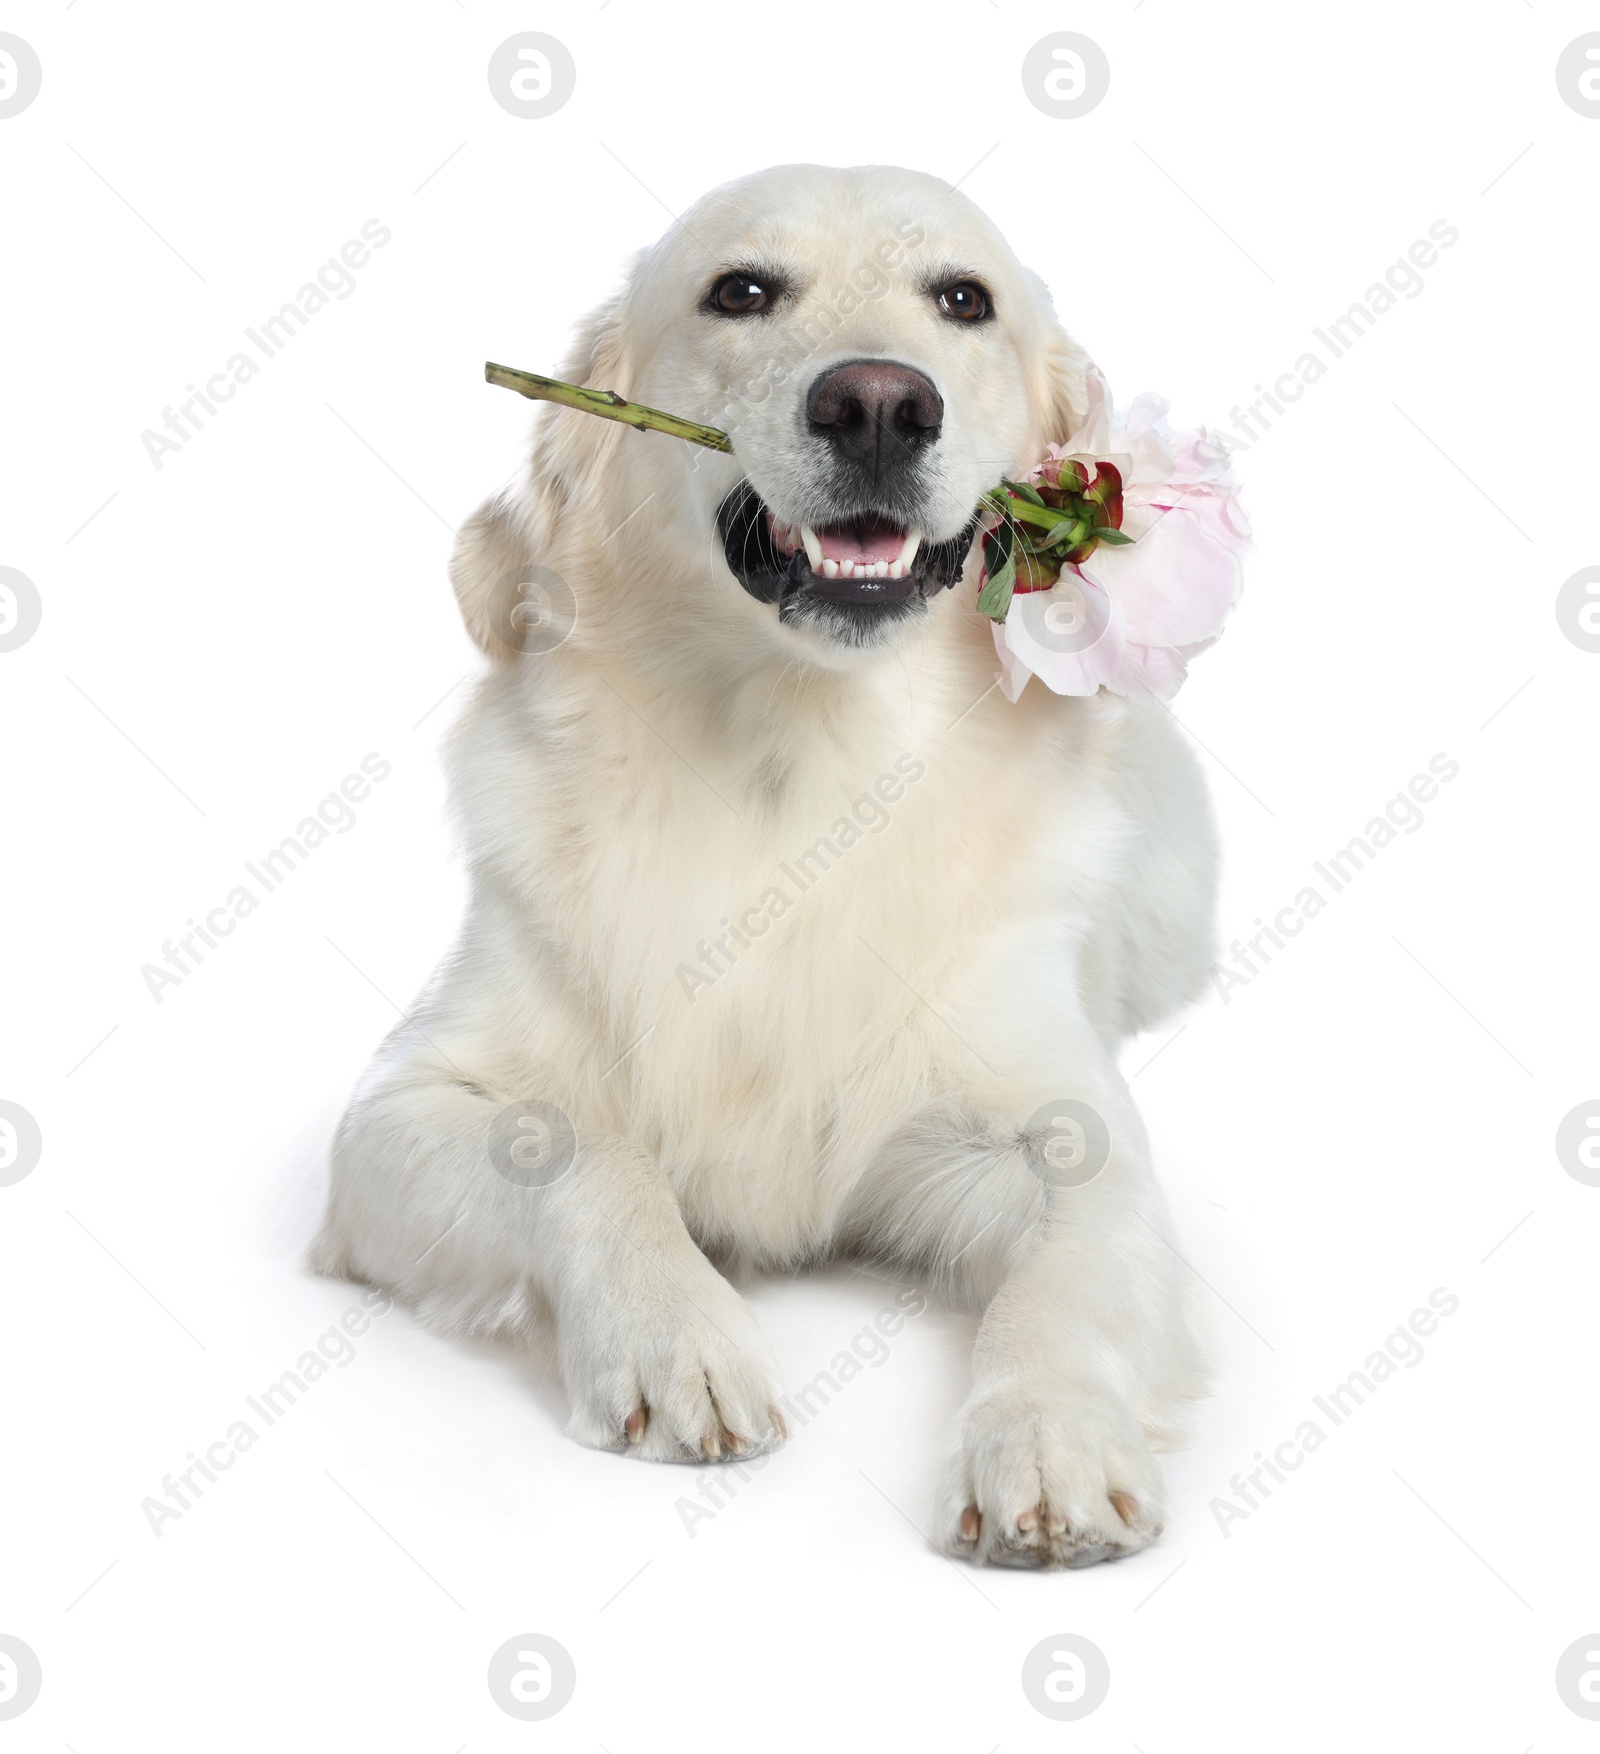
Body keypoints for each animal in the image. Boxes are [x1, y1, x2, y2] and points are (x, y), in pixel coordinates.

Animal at [308, 161, 1214, 1564]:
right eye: (740, 291)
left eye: (964, 299)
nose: (879, 403)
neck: (798, 765)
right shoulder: (394, 1112)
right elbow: (576, 1146)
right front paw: (674, 1333)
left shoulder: (1066, 1129)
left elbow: (1065, 1278)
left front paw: (1047, 1438)